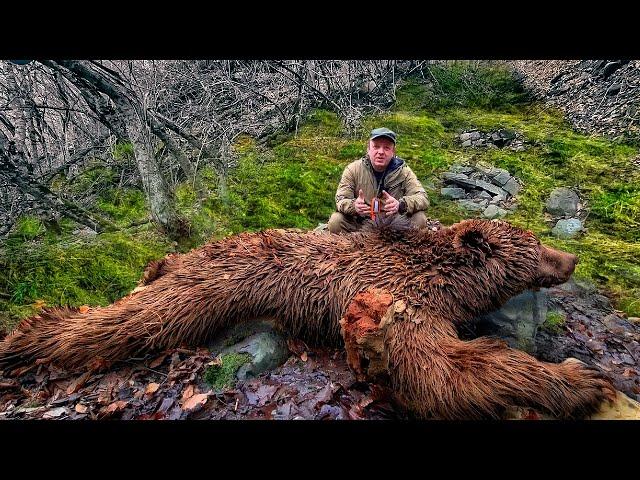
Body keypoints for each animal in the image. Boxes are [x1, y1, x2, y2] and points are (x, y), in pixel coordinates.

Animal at [0, 219, 616, 418]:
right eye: (535, 249)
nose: (571, 258)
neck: (444, 279)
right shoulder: (399, 303)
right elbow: (440, 371)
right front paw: (578, 380)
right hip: (214, 284)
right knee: (137, 318)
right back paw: (28, 333)